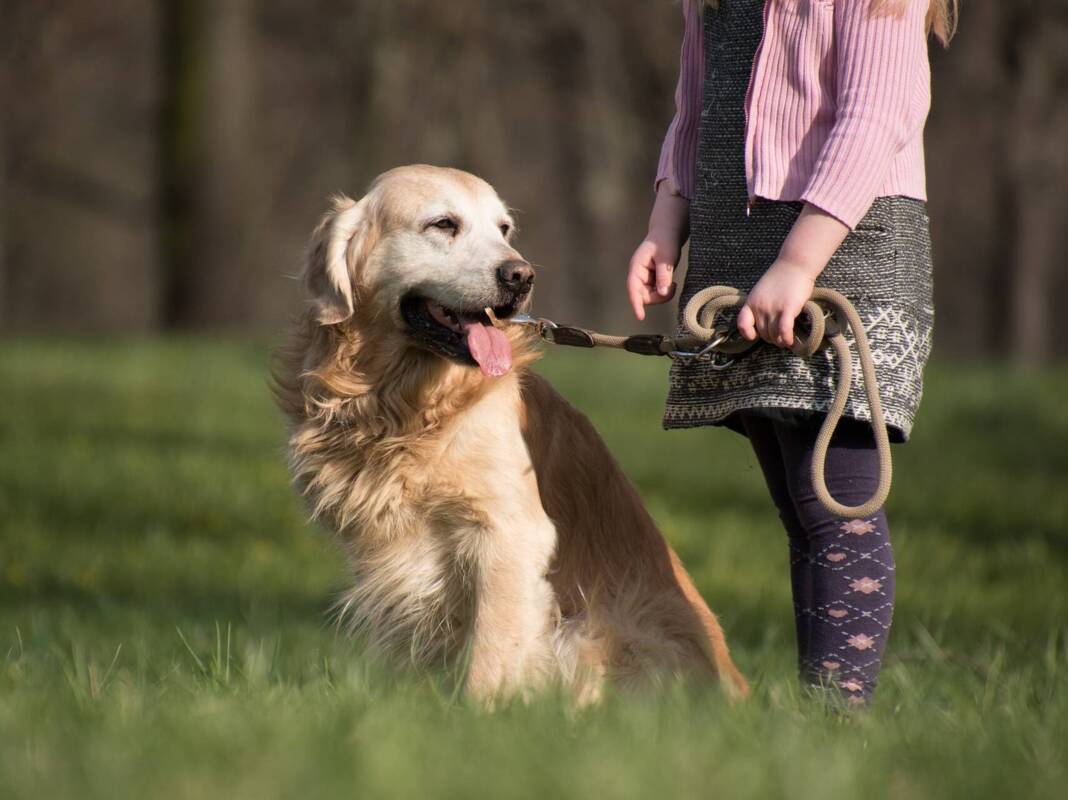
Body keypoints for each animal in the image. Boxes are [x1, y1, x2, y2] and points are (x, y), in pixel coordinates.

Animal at [273, 165, 751, 700]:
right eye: (444, 224)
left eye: (503, 229)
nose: (522, 276)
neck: (403, 406)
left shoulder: (510, 533)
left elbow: (492, 652)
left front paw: (480, 713)